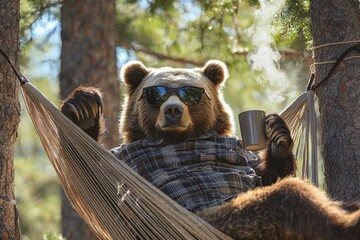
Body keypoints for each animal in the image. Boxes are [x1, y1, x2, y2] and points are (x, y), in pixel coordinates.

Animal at [60, 59, 358, 239]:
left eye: (191, 93)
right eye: (156, 93)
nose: (173, 110)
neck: (183, 138)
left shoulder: (239, 153)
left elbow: (266, 174)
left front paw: (278, 134)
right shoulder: (132, 160)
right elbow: (99, 184)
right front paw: (84, 111)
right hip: (230, 220)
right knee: (287, 198)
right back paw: (347, 224)